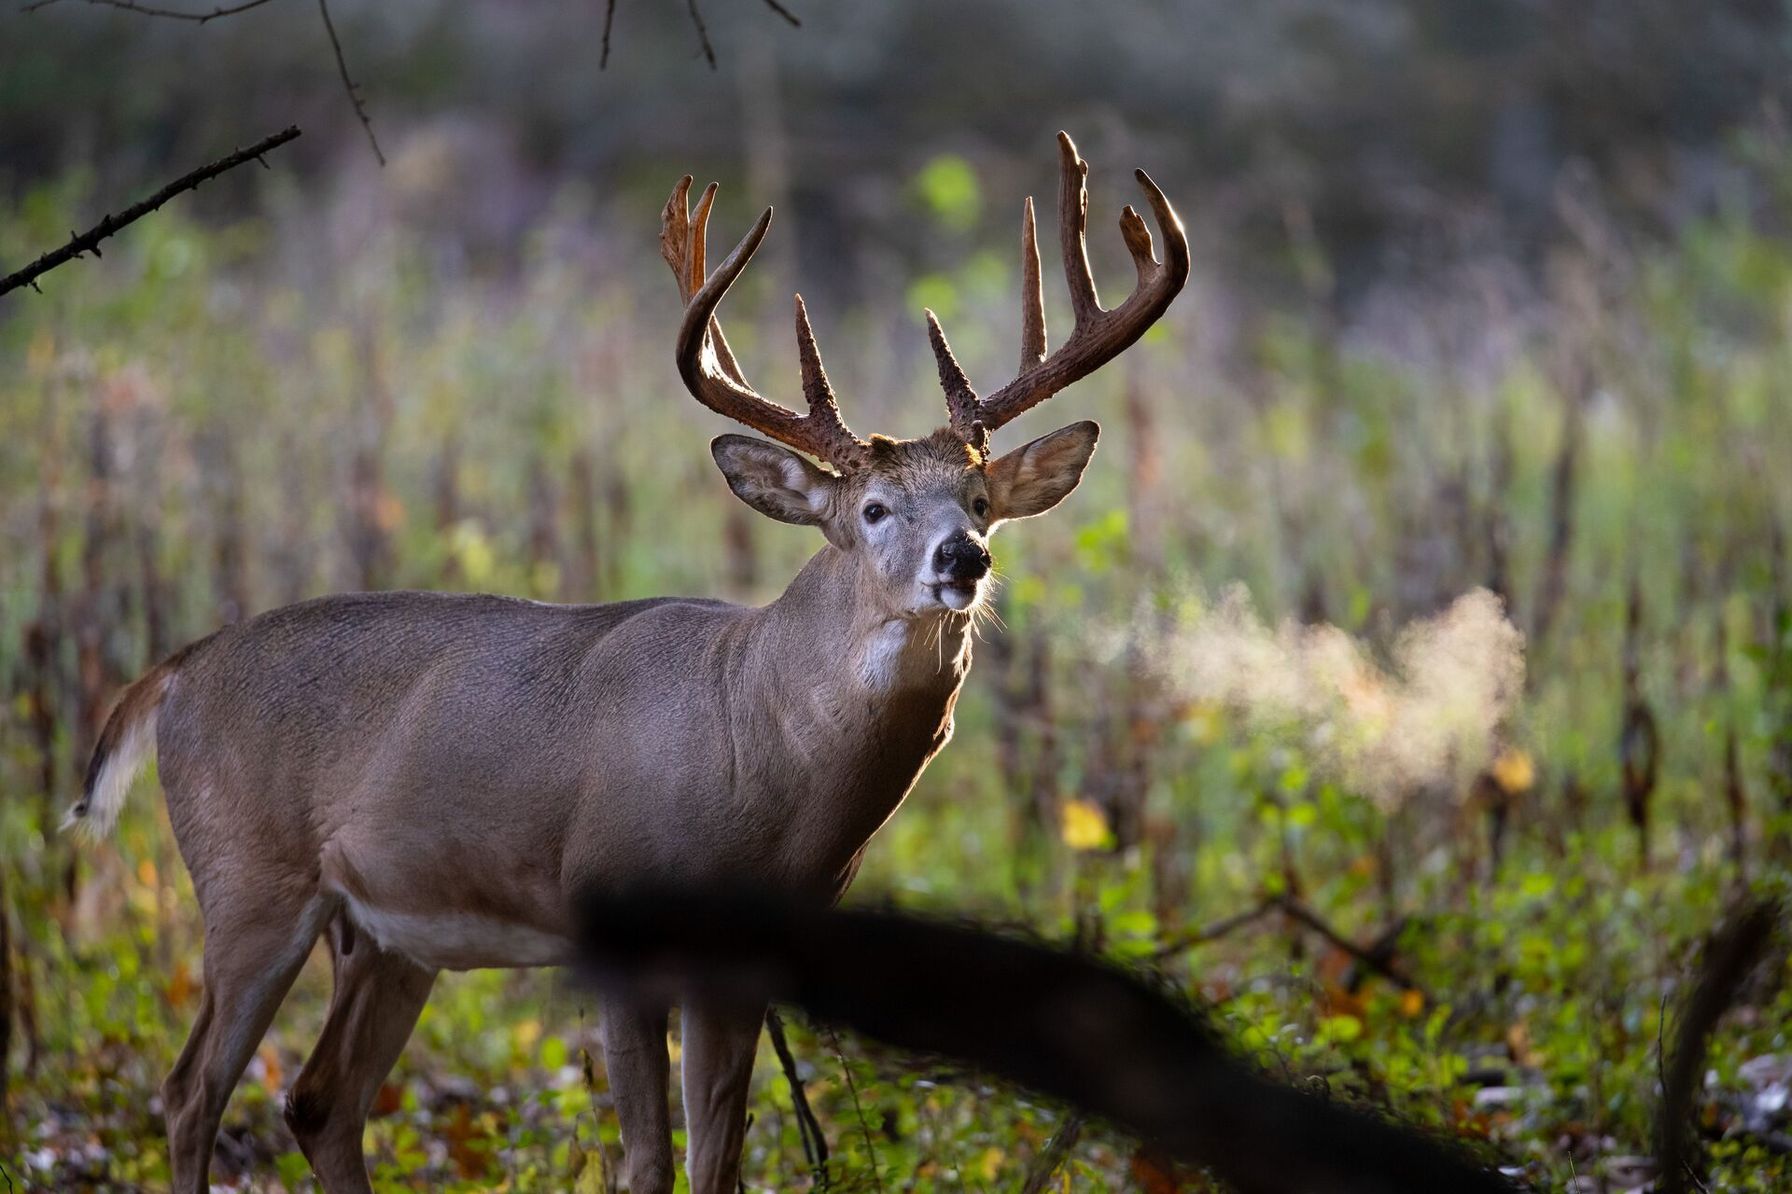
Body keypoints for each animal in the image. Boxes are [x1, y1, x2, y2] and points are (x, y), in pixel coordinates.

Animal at [65, 132, 1188, 1194]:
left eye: (982, 499)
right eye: (872, 510)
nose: (965, 558)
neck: (752, 749)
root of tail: (178, 668)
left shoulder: (754, 961)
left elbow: (720, 1159)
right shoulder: (611, 918)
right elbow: (648, 1162)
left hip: (380, 931)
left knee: (316, 1100)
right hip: (248, 876)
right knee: (190, 1091)